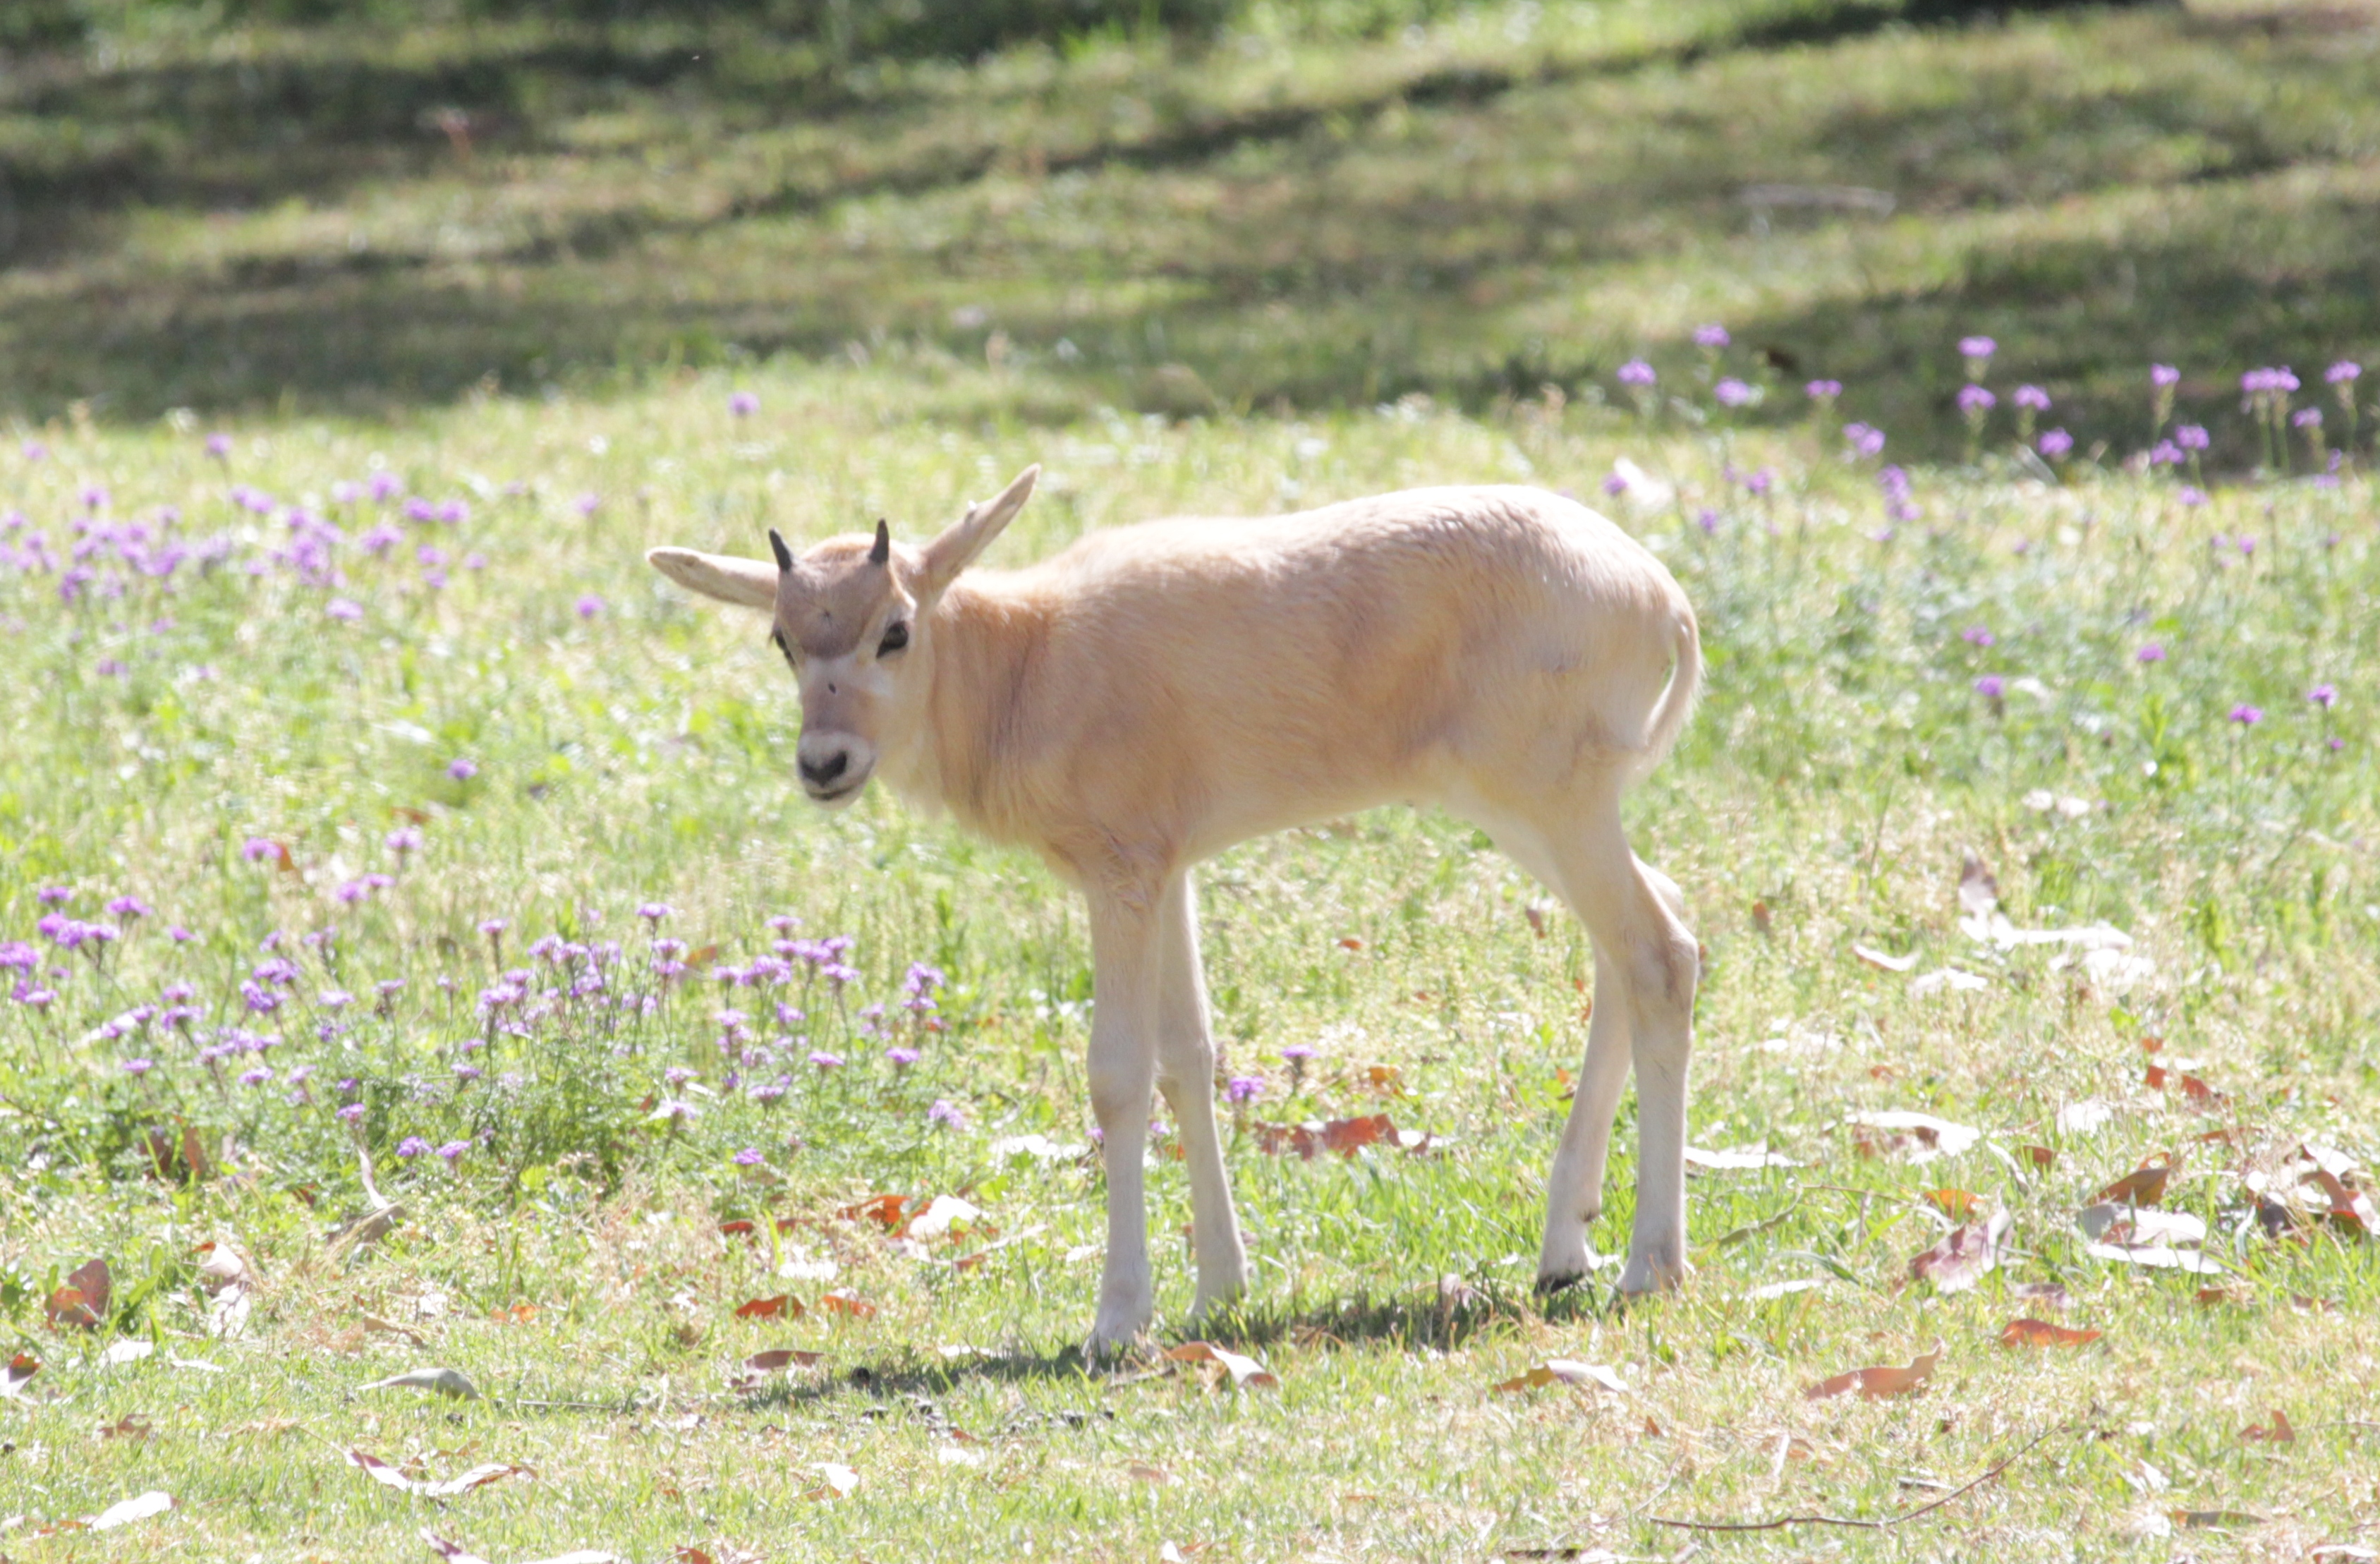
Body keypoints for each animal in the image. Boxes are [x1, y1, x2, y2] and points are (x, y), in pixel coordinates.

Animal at [647, 466, 1702, 1357]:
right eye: (785, 637)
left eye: (894, 628)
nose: (824, 763)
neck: (1030, 652)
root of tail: (1660, 594)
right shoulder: (1168, 875)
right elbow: (1188, 1056)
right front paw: (1218, 1290)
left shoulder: (1121, 880)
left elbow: (1118, 1073)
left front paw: (1119, 1317)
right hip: (1530, 813)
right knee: (1633, 940)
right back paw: (1564, 1252)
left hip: (1548, 804)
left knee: (1659, 952)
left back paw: (1648, 1266)